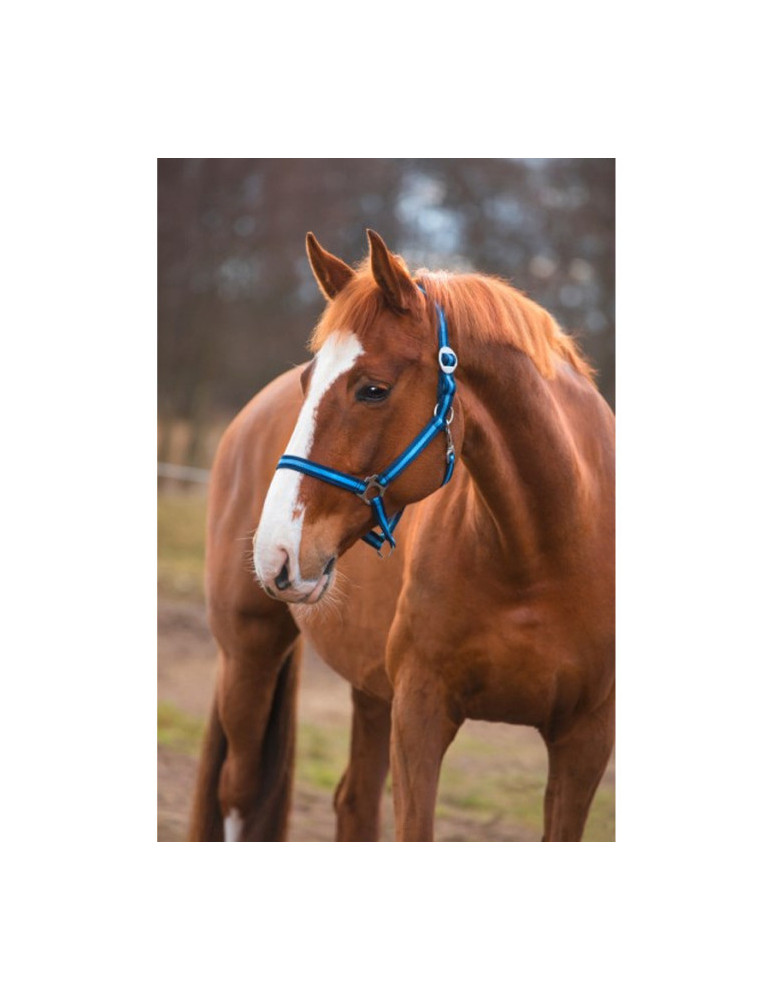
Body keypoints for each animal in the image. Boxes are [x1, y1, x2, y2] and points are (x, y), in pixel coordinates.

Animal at [189, 229, 615, 842]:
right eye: (307, 381)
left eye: (373, 389)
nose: (275, 552)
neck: (539, 556)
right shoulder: (420, 714)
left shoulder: (585, 740)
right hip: (249, 653)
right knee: (238, 794)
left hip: (369, 690)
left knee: (354, 802)